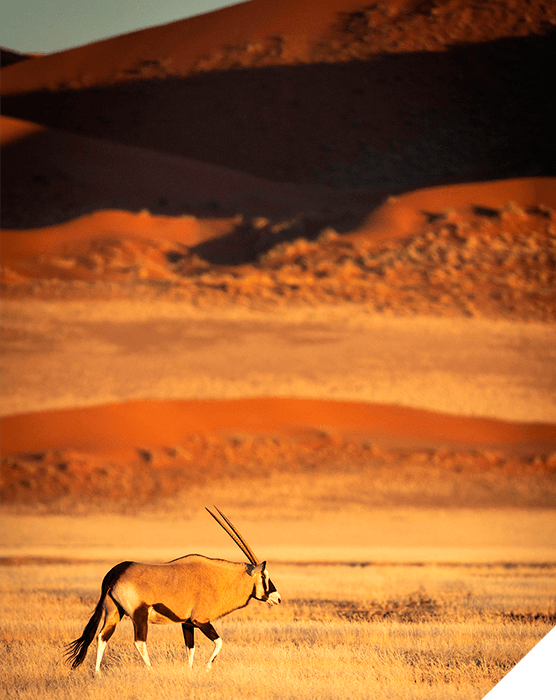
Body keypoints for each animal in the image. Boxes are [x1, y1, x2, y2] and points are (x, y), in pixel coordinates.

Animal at [65, 507, 281, 673]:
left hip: (113, 612)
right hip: (139, 615)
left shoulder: (187, 623)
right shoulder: (201, 621)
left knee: (102, 637)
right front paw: (206, 668)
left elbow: (190, 648)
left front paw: (190, 671)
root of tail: (116, 573)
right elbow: (219, 642)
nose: (277, 599)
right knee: (139, 641)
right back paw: (151, 670)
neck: (218, 578)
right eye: (264, 576)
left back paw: (97, 673)